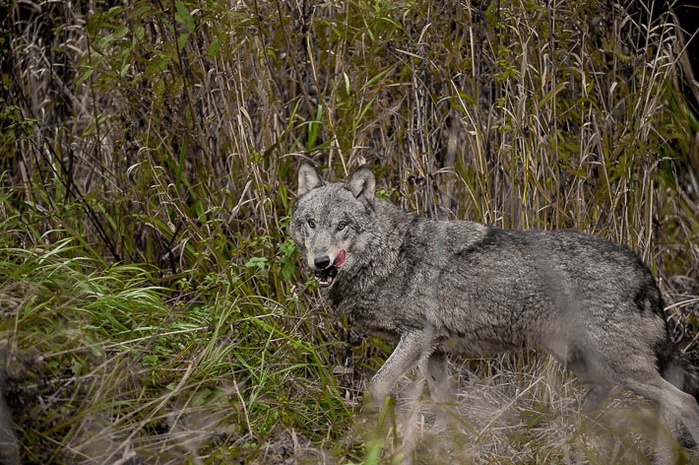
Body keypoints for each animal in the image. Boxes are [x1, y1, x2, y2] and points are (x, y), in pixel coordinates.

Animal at [288, 161, 699, 444]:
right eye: (310, 223)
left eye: (342, 225)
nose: (320, 262)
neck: (388, 255)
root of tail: (641, 266)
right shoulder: (434, 351)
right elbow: (445, 403)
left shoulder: (416, 338)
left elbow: (375, 387)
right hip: (587, 364)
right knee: (607, 396)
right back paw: (568, 431)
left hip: (620, 366)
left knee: (685, 403)